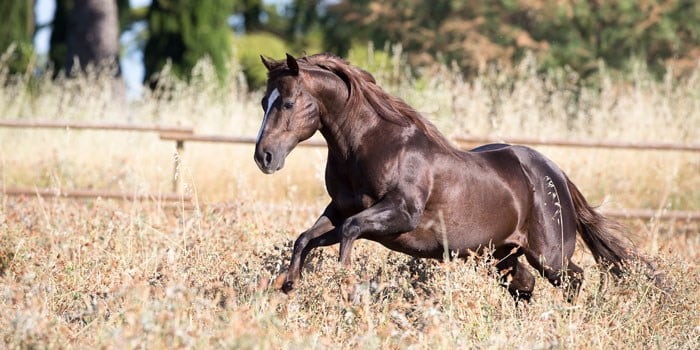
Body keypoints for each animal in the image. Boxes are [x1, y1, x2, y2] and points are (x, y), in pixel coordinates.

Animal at [253, 53, 656, 302]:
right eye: (263, 102)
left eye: (287, 102)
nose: (264, 157)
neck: (370, 146)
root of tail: (553, 172)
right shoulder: (339, 210)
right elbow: (305, 238)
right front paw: (287, 285)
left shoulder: (399, 214)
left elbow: (349, 232)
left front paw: (348, 287)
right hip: (500, 254)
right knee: (524, 285)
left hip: (548, 255)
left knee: (574, 278)